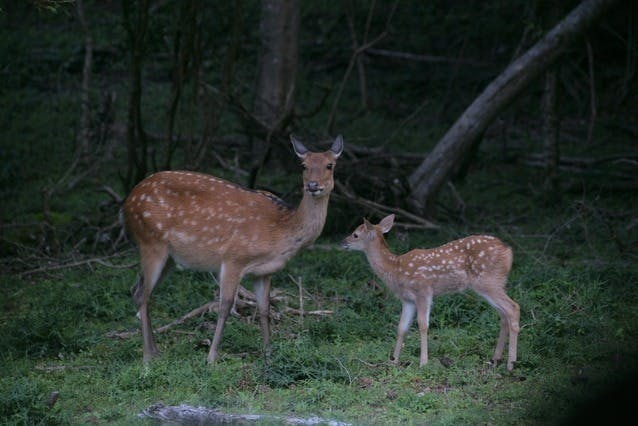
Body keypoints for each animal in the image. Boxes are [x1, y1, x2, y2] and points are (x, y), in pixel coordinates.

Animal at [124, 136, 344, 362]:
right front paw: (211, 357)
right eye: (304, 165)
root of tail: (128, 201)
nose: (313, 185)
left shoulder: (264, 271)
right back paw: (147, 357)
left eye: (330, 165)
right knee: (143, 295)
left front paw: (268, 353)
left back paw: (155, 351)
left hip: (170, 257)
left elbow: (264, 308)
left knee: (136, 290)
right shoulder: (234, 258)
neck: (281, 231)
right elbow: (225, 306)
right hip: (151, 241)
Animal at [344, 215, 520, 372]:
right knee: (503, 315)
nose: (343, 242)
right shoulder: (408, 300)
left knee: (513, 308)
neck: (395, 268)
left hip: (488, 281)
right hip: (495, 283)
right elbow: (402, 327)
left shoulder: (423, 291)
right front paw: (393, 361)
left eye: (355, 234)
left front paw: (423, 363)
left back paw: (511, 364)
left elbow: (422, 325)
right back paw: (495, 360)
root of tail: (508, 251)